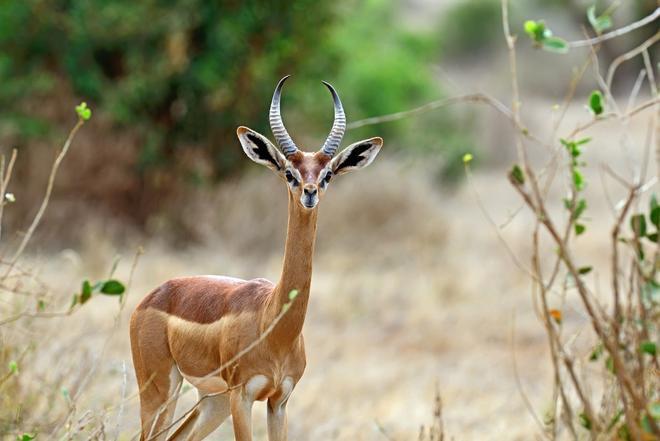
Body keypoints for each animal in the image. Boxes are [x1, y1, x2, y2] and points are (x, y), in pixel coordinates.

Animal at [130, 76, 384, 440]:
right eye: (290, 173)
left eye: (327, 175)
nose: (309, 193)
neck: (273, 322)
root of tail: (151, 297)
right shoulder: (244, 396)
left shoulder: (279, 400)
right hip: (161, 392)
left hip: (212, 401)